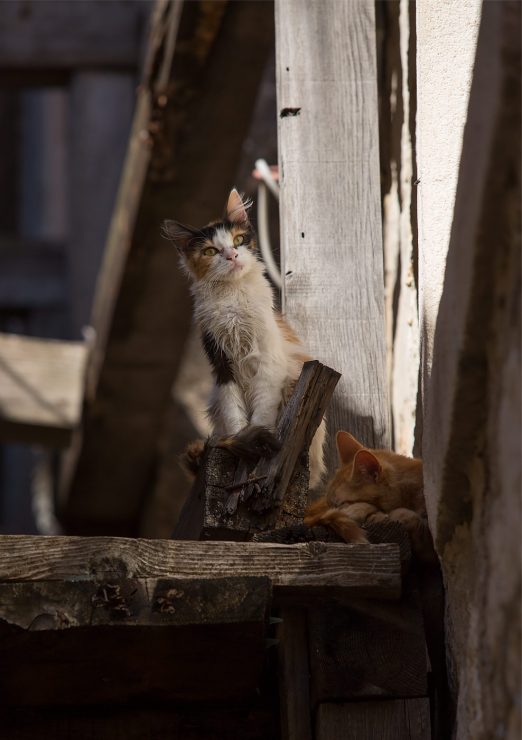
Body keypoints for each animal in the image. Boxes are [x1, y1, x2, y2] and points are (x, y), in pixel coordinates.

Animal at [162, 189, 324, 486]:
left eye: (238, 240)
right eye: (211, 251)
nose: (232, 256)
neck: (233, 301)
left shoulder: (268, 363)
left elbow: (261, 413)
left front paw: (257, 445)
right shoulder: (221, 364)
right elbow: (235, 414)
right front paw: (242, 447)